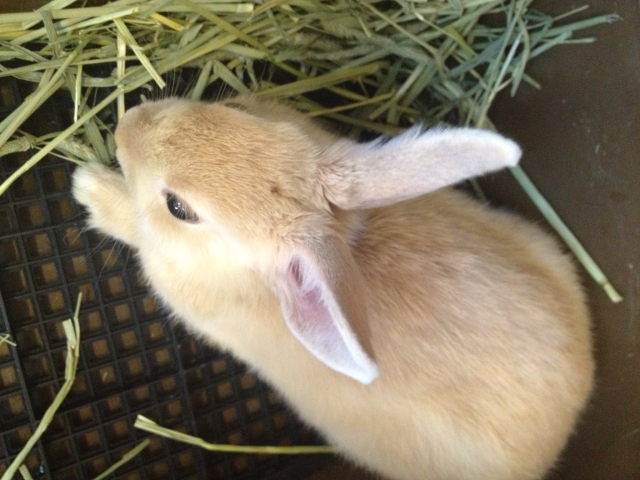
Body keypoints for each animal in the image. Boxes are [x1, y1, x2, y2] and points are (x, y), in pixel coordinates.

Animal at [74, 96, 596, 480]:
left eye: (179, 208)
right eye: (238, 108)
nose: (127, 123)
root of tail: (563, 429)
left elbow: (134, 226)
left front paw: (90, 190)